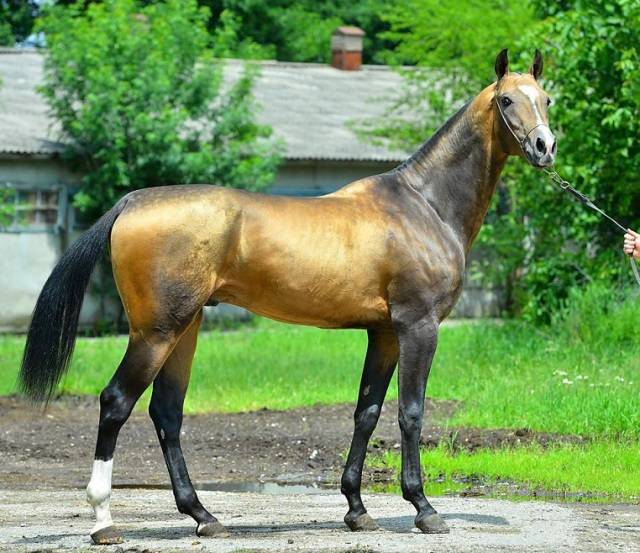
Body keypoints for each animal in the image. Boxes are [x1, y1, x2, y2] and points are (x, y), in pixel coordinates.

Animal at [18, 50, 556, 544]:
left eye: (546, 99)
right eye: (507, 100)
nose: (545, 147)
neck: (423, 205)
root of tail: (131, 202)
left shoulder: (384, 333)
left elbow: (366, 413)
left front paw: (357, 509)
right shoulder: (417, 327)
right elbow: (411, 413)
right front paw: (424, 508)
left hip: (184, 330)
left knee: (166, 413)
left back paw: (204, 517)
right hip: (155, 333)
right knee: (116, 403)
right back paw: (104, 521)